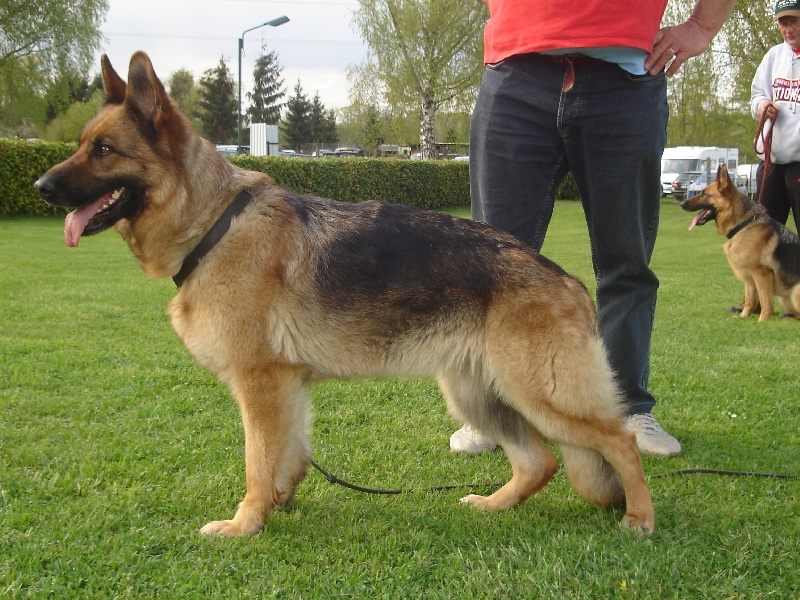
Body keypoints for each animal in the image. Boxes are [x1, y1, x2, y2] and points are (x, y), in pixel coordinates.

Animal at [34, 54, 652, 536]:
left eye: (105, 150)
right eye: (82, 145)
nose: (40, 186)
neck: (214, 224)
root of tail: (568, 281)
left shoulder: (261, 386)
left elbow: (256, 462)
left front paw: (245, 524)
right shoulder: (287, 388)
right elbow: (288, 456)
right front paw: (277, 507)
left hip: (539, 394)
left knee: (619, 440)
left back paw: (639, 519)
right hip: (479, 393)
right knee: (539, 461)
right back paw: (494, 505)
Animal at [680, 164, 800, 322]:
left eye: (704, 194)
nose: (681, 203)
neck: (743, 225)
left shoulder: (761, 274)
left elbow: (765, 303)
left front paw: (762, 321)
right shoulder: (749, 275)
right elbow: (750, 300)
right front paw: (743, 317)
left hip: (796, 292)